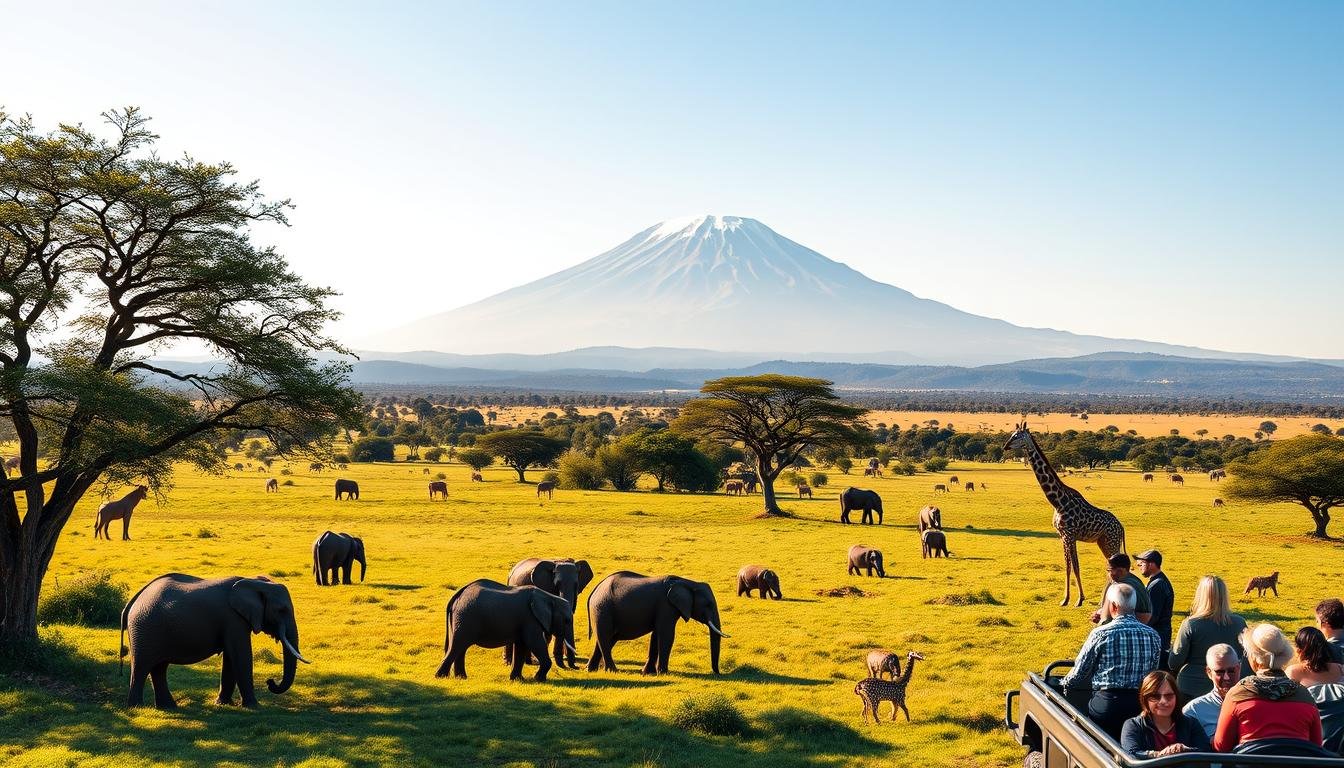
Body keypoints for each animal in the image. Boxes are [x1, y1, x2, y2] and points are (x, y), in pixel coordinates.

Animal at [118, 572, 309, 710]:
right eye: (281, 610)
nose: (270, 682)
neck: (254, 582)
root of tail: (133, 601)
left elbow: (231, 659)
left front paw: (223, 704)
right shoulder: (233, 619)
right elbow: (241, 655)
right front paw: (254, 707)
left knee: (159, 668)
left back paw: (168, 707)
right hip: (144, 628)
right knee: (142, 666)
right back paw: (136, 708)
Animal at [432, 581, 575, 683]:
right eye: (567, 620)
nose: (576, 668)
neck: (549, 597)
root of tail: (458, 594)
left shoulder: (525, 621)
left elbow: (521, 646)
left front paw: (518, 680)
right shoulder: (530, 619)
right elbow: (534, 642)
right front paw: (538, 679)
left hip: (461, 618)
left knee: (460, 648)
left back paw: (461, 678)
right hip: (464, 617)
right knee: (457, 646)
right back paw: (441, 677)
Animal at [588, 570, 731, 672]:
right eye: (708, 604)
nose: (717, 673)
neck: (687, 582)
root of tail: (594, 590)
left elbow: (656, 635)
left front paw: (648, 673)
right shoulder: (666, 606)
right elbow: (666, 634)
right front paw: (663, 673)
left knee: (607, 639)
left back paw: (590, 670)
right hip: (602, 608)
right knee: (605, 637)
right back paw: (613, 671)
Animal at [1010, 419, 1123, 607]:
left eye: (1017, 436)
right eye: (1011, 435)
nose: (1005, 446)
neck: (1058, 502)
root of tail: (1121, 527)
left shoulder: (1069, 534)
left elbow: (1075, 566)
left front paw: (1078, 599)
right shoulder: (1062, 535)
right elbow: (1068, 566)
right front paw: (1066, 599)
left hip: (1111, 541)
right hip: (1103, 542)